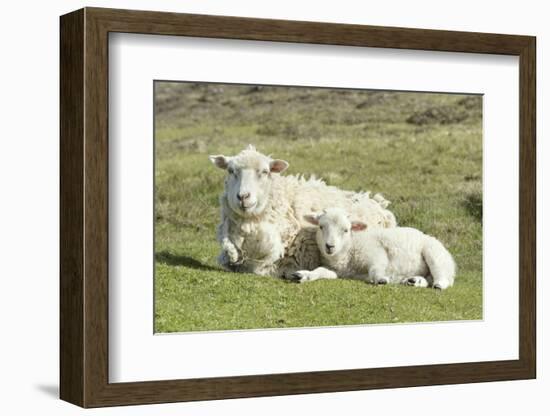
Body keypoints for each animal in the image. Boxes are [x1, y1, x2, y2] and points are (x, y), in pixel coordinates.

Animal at [294, 208, 458, 290]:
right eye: (321, 227)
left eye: (346, 230)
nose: (329, 246)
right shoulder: (337, 271)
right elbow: (320, 270)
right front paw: (305, 275)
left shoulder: (376, 252)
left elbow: (375, 269)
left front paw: (380, 279)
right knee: (428, 279)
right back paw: (414, 281)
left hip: (434, 253)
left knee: (442, 276)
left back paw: (439, 284)